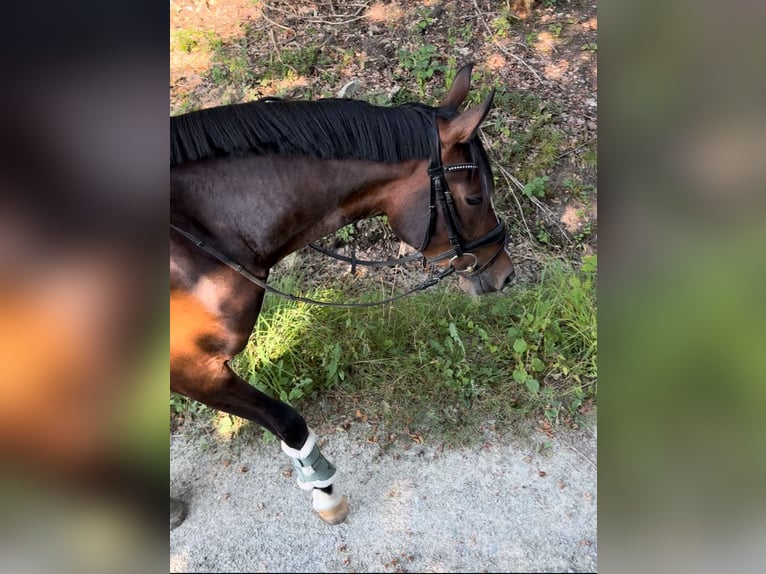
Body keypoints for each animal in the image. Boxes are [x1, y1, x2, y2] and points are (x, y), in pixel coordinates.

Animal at [171, 65, 512, 528]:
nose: (505, 273)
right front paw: (325, 491)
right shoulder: (193, 368)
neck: (202, 232)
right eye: (475, 197)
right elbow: (289, 420)